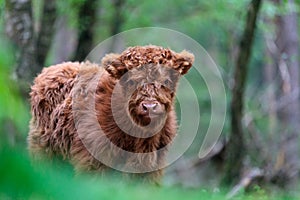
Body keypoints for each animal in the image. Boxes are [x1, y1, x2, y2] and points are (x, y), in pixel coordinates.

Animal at [28, 45, 195, 183]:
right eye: (132, 81)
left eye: (166, 81)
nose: (149, 106)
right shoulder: (94, 160)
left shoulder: (151, 167)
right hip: (45, 151)